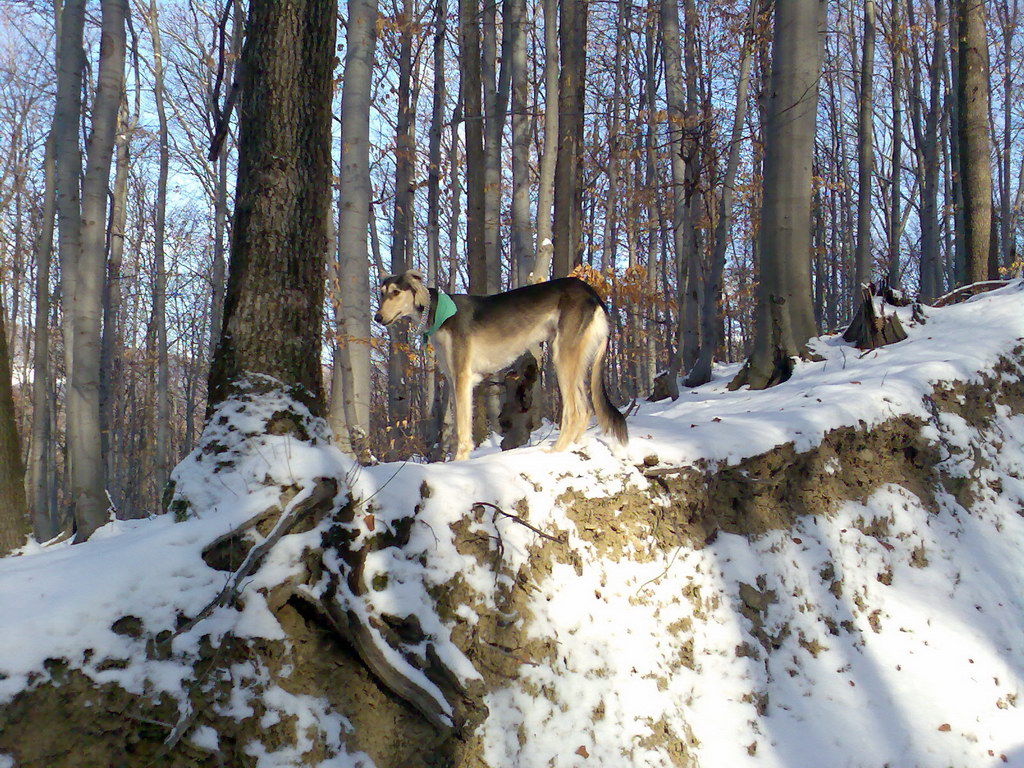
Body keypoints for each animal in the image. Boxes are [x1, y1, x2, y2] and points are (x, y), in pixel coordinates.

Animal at [372, 270, 626, 462]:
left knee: (575, 411)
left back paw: (555, 451)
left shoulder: (462, 377)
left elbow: (462, 431)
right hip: (576, 360)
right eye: (381, 293)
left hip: (562, 356)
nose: (378, 317)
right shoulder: (453, 379)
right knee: (585, 409)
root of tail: (590, 291)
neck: (439, 313)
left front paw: (459, 462)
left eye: (396, 292)